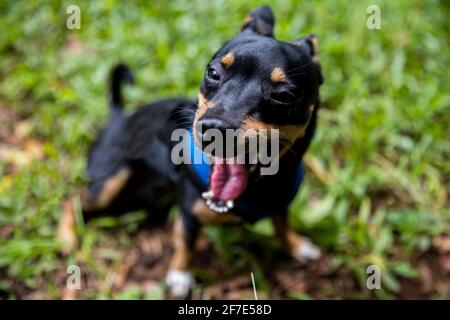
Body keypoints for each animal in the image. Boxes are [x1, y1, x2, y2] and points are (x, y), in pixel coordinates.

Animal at [81, 5, 324, 298]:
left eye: (284, 96)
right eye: (213, 73)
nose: (212, 128)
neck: (258, 188)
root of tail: (119, 119)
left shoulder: (280, 204)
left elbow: (282, 225)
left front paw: (295, 246)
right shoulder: (188, 213)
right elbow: (186, 243)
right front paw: (180, 274)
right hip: (108, 184)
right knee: (74, 203)